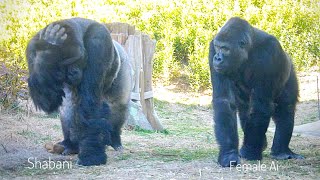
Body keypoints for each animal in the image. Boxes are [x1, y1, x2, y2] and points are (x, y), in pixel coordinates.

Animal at [26, 17, 132, 166]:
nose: (74, 73)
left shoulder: (98, 42)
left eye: (79, 59)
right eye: (66, 63)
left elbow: (90, 104)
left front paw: (91, 155)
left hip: (124, 64)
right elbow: (48, 100)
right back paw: (71, 144)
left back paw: (115, 139)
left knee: (118, 106)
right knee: (67, 108)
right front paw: (49, 46)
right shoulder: (32, 49)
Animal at [209, 17, 304, 167]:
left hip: (290, 69)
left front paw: (250, 152)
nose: (217, 58)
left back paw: (281, 151)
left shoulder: (270, 52)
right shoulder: (212, 50)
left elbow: (261, 105)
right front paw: (229, 153)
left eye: (225, 49)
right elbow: (225, 101)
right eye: (218, 47)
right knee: (245, 110)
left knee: (286, 108)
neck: (249, 50)